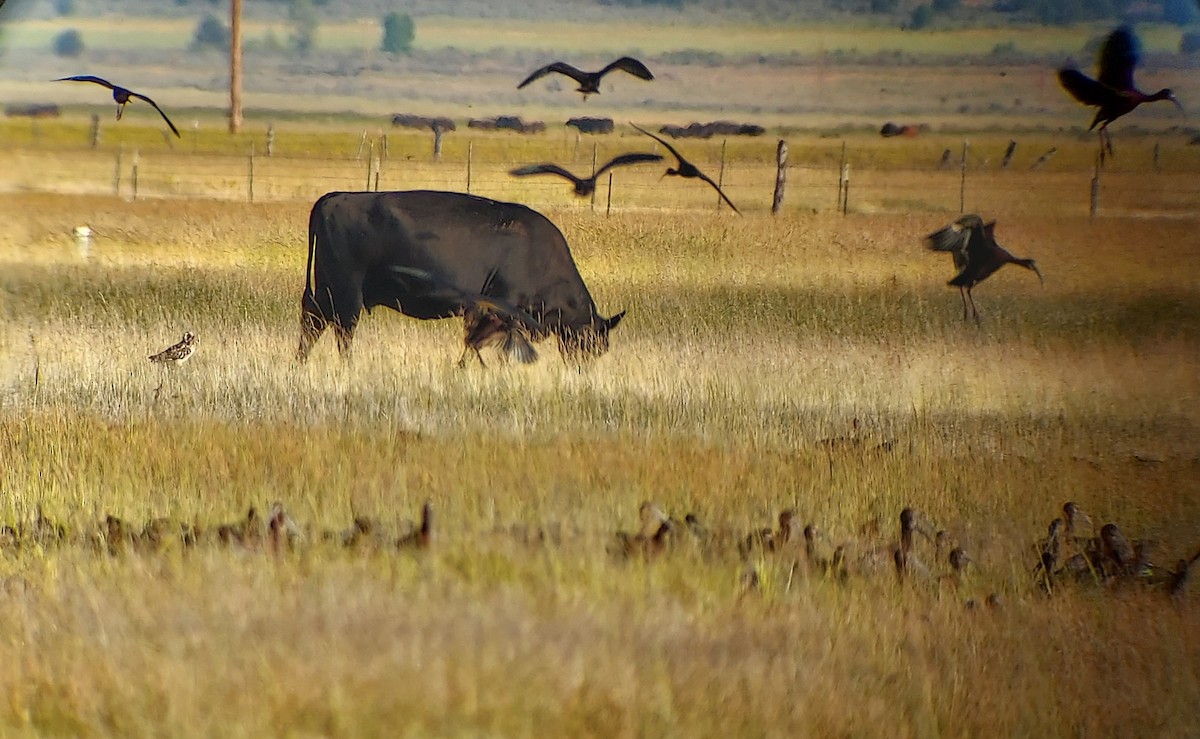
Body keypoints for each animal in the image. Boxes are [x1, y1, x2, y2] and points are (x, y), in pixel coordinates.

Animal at [297, 190, 628, 364]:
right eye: (591, 341)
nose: (582, 368)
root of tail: (333, 197)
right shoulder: (499, 310)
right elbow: (479, 345)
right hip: (347, 294)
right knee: (342, 332)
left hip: (325, 291)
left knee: (312, 325)